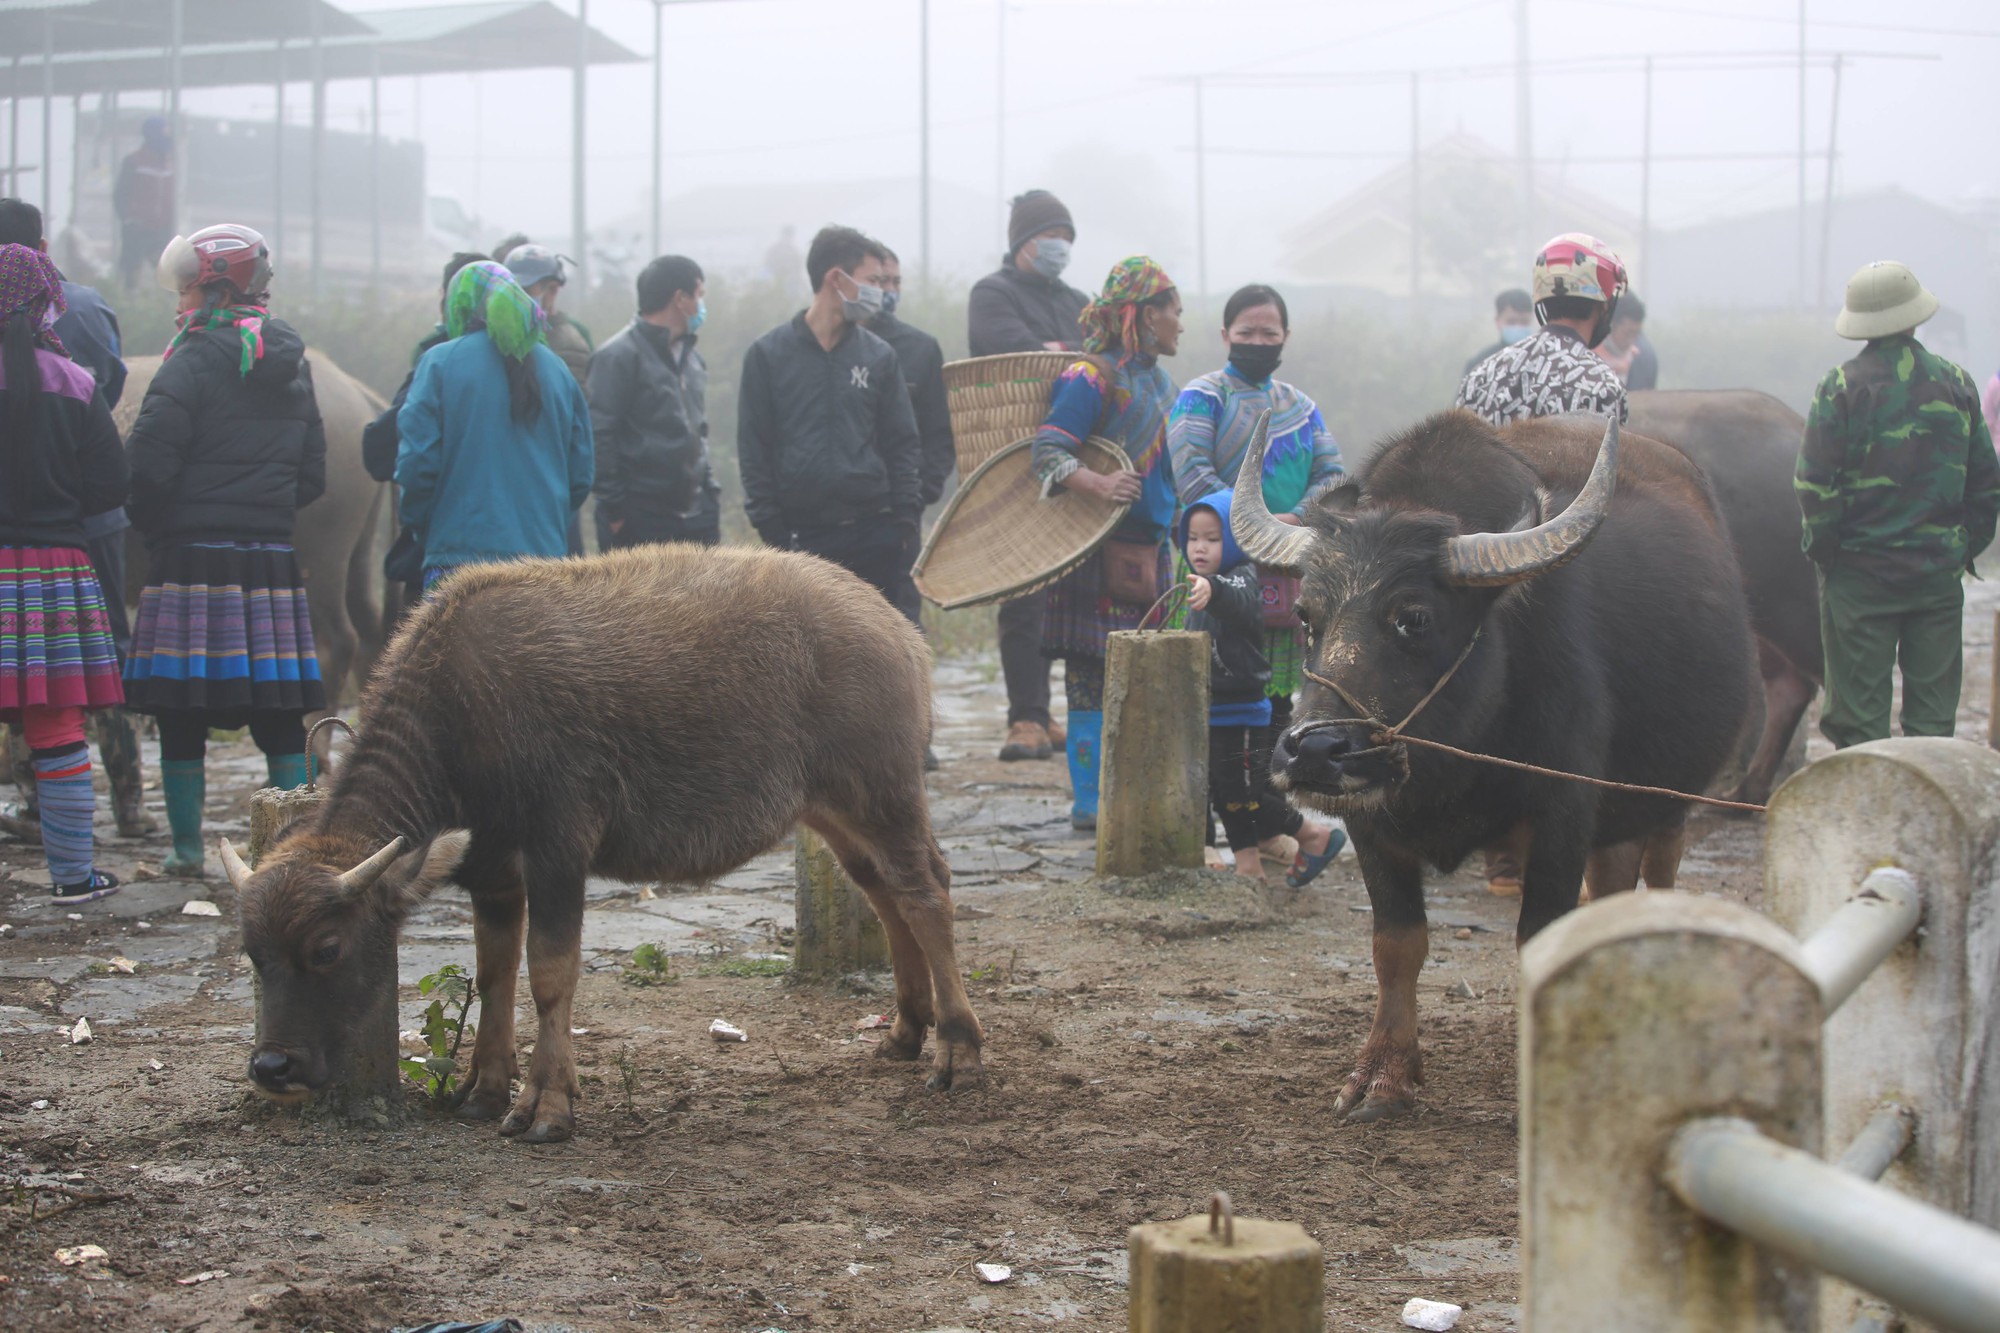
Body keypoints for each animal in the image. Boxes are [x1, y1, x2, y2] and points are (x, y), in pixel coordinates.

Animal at [219, 544, 984, 1136]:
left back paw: (958, 1049)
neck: (459, 715)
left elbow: (550, 974)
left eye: (326, 948)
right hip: (832, 811)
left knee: (927, 892)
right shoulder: (494, 876)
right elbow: (494, 974)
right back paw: (905, 1030)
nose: (272, 1067)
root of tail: (896, 629)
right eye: (252, 952)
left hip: (882, 794)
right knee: (884, 892)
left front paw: (547, 1104)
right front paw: (483, 1091)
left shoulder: (558, 853)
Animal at [1232, 410, 1752, 1112]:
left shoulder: (1563, 811)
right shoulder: (1370, 820)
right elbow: (1396, 943)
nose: (1315, 750)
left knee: (1660, 871)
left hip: (1670, 796)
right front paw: (1383, 1075)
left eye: (1414, 618)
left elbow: (1539, 939)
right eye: (1307, 616)